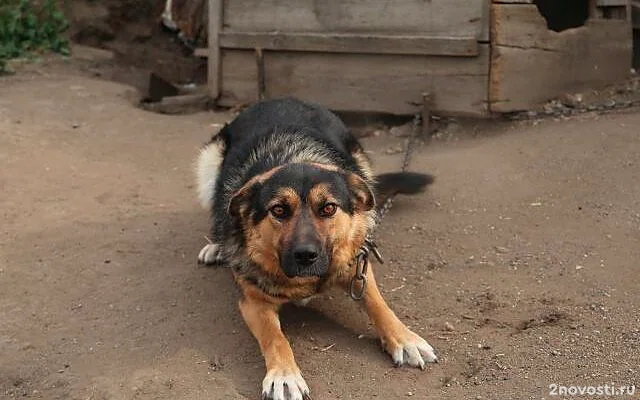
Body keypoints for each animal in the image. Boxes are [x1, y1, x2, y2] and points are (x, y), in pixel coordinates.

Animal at [194, 97, 436, 400]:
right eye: (279, 210)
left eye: (328, 208)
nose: (306, 256)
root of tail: (280, 98)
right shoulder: (253, 301)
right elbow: (275, 338)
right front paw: (284, 375)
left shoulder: (358, 266)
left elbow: (379, 304)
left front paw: (404, 338)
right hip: (209, 163)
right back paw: (217, 246)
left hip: (361, 159)